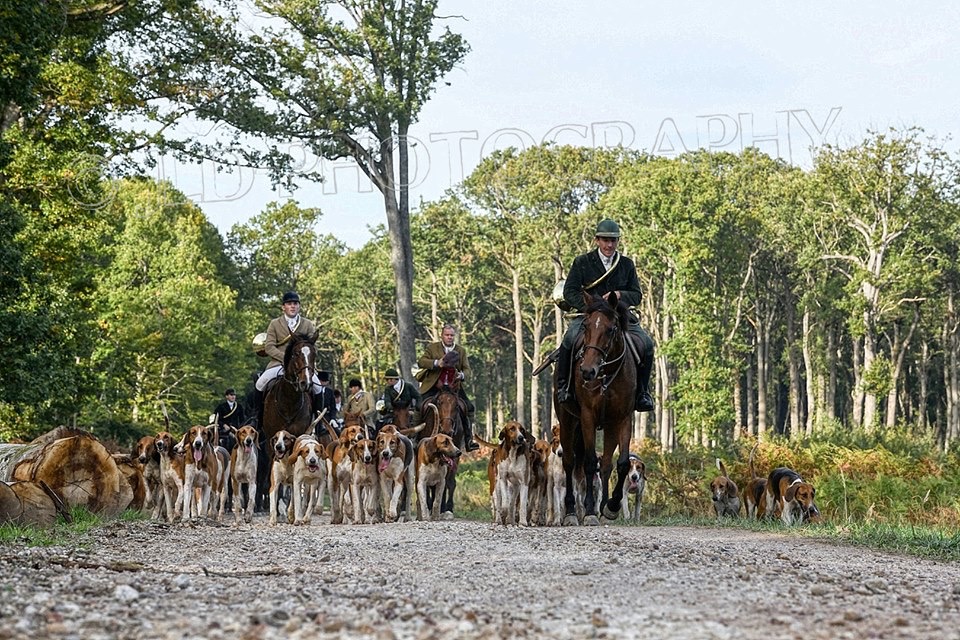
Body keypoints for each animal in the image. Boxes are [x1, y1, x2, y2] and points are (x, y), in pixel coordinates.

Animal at [556, 290, 636, 524]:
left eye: (611, 329)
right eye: (586, 326)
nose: (587, 371)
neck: (606, 374)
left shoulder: (623, 417)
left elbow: (622, 463)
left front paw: (612, 506)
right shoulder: (587, 417)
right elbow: (590, 462)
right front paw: (590, 511)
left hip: (609, 426)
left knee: (607, 464)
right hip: (567, 419)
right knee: (570, 461)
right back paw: (572, 512)